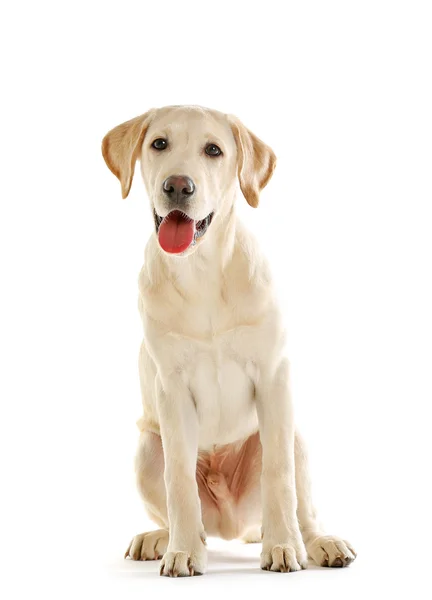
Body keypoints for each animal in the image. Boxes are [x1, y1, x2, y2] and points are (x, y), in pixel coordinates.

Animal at [103, 105, 356, 576]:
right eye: (159, 143)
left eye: (213, 150)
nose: (178, 186)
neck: (201, 271)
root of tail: (233, 526)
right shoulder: (171, 388)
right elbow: (179, 481)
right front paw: (183, 551)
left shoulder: (274, 377)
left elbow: (279, 476)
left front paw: (283, 547)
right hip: (147, 449)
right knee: (174, 506)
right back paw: (162, 538)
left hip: (296, 436)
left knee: (304, 509)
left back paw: (317, 542)